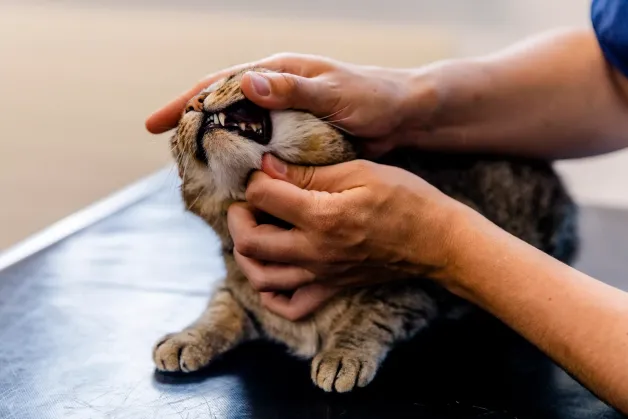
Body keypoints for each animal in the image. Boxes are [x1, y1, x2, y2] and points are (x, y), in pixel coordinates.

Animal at [153, 67, 580, 392]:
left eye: (228, 77)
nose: (193, 103)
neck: (276, 221)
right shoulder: (237, 286)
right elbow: (220, 307)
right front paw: (185, 338)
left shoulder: (415, 290)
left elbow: (371, 315)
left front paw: (343, 355)